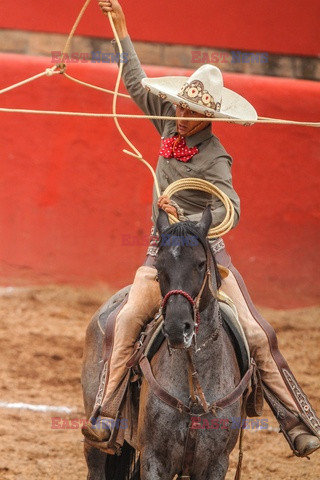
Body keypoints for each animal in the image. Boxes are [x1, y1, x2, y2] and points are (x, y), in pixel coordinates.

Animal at [81, 206, 244, 480]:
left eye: (200, 263)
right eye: (158, 266)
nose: (177, 327)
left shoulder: (216, 463)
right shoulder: (154, 458)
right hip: (94, 442)